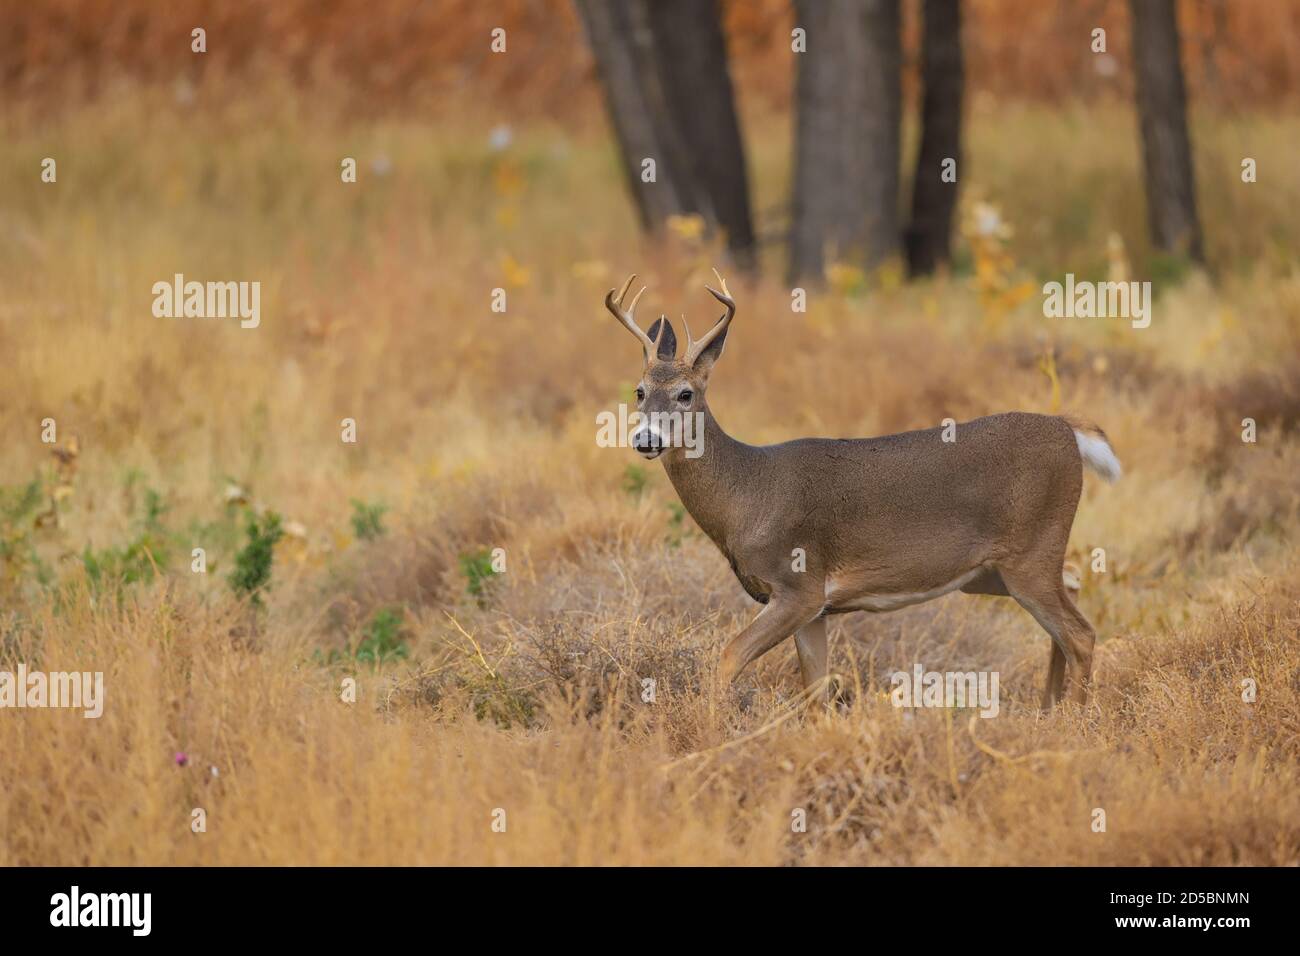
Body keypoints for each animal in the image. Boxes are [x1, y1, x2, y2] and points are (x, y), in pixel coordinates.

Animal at [603, 272, 1121, 709]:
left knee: (1081, 633)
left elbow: (726, 659)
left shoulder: (799, 585)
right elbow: (815, 692)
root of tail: (1068, 430)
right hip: (993, 572)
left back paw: (1072, 718)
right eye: (639, 391)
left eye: (686, 393)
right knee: (1072, 594)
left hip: (1029, 553)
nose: (645, 439)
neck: (747, 493)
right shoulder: (817, 609)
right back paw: (1048, 707)